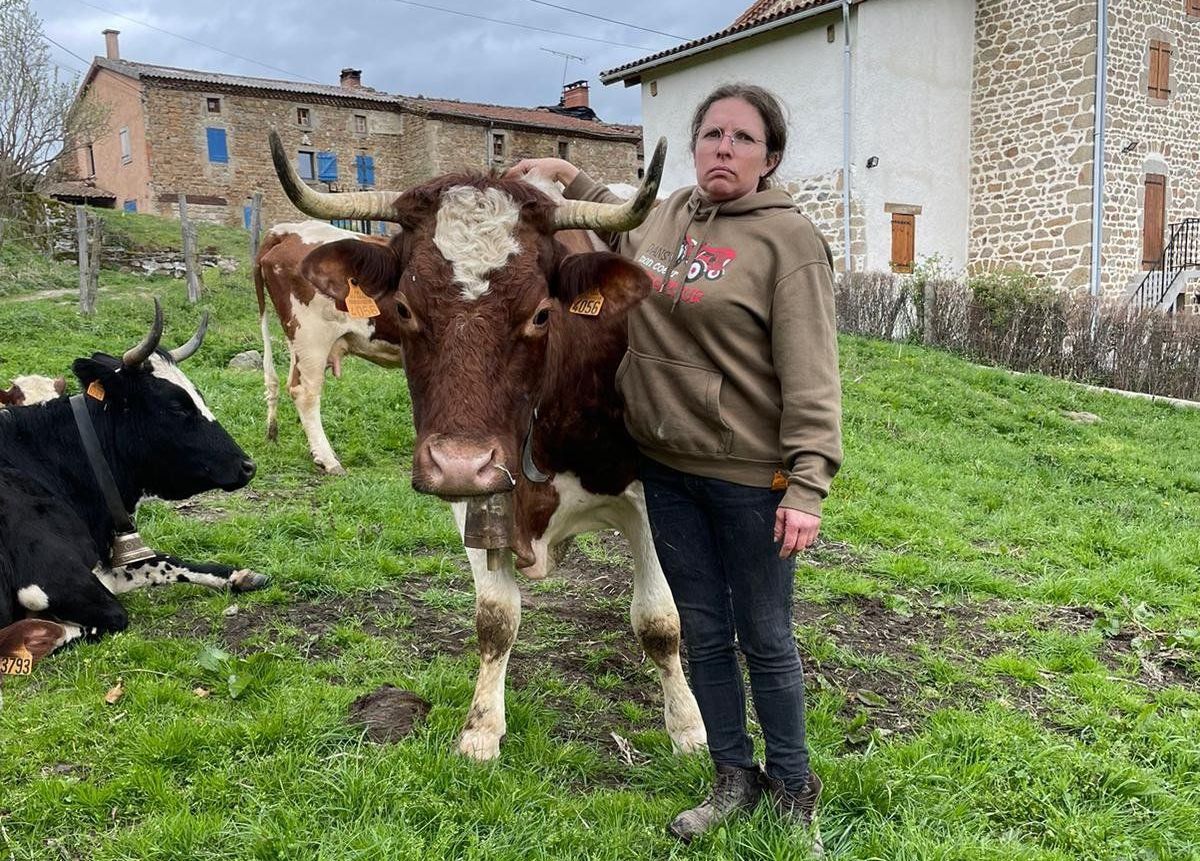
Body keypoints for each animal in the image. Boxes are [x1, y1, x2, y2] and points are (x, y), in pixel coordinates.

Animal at [0, 303, 264, 642]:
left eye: (199, 396)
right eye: (177, 406)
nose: (248, 466)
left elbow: (160, 561)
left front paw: (239, 576)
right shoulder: (53, 579)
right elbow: (103, 615)